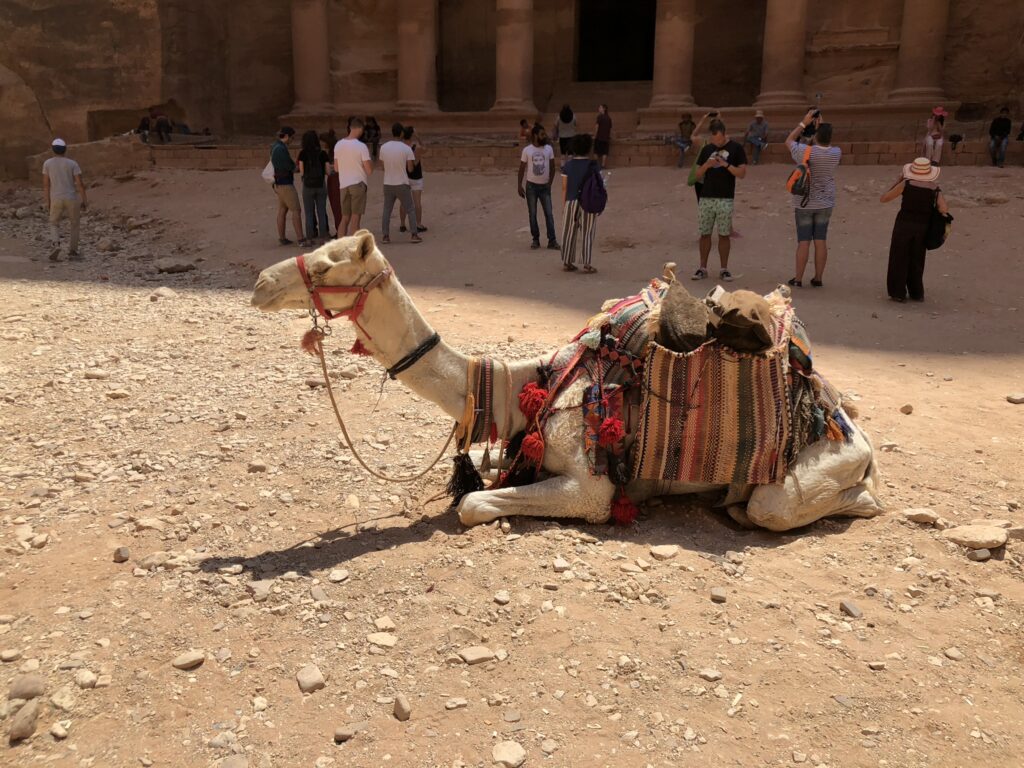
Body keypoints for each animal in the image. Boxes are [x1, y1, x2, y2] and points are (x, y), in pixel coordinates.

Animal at [251, 233, 884, 536]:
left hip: (810, 471)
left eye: (330, 263)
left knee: (781, 506)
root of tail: (846, 424)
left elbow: (474, 503)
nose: (260, 282)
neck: (520, 389)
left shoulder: (590, 485)